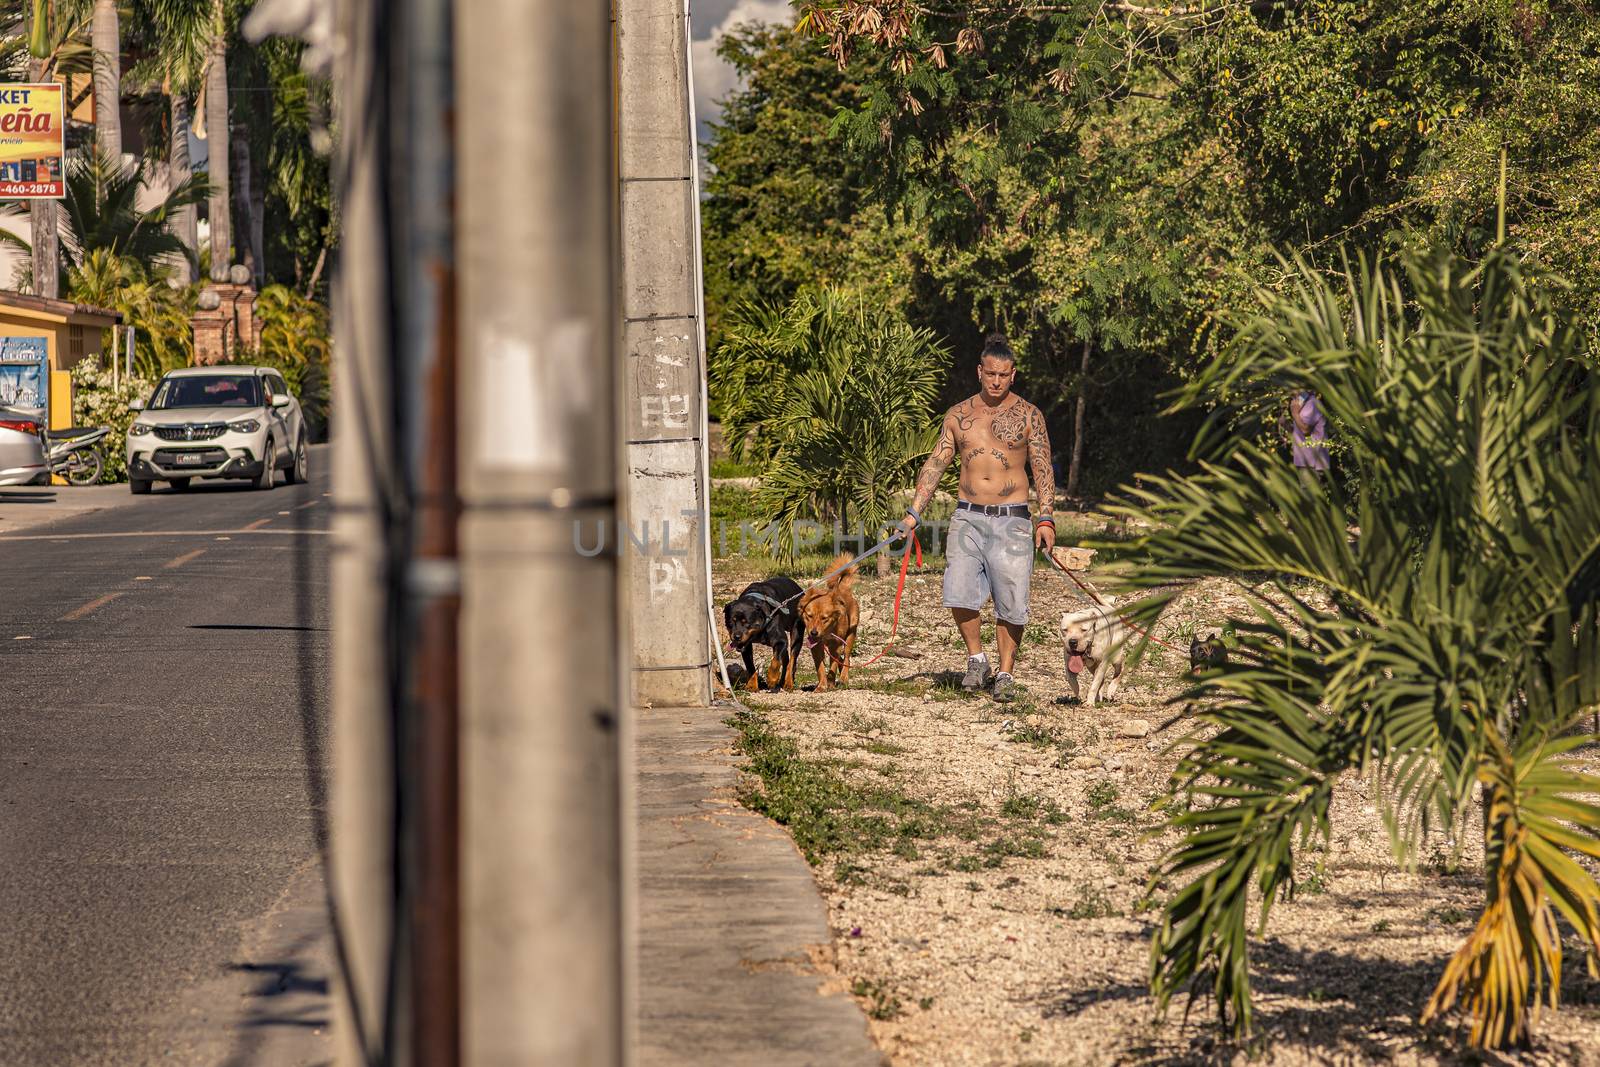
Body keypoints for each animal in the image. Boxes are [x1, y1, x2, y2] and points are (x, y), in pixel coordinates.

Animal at [800, 550, 864, 694]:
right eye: (809, 616)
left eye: (825, 618)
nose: (813, 633)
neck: (827, 631)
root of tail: (842, 588)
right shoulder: (816, 647)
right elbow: (820, 669)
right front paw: (821, 685)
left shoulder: (836, 646)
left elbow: (832, 667)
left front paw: (830, 683)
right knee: (842, 660)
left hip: (850, 635)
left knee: (846, 658)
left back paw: (844, 678)